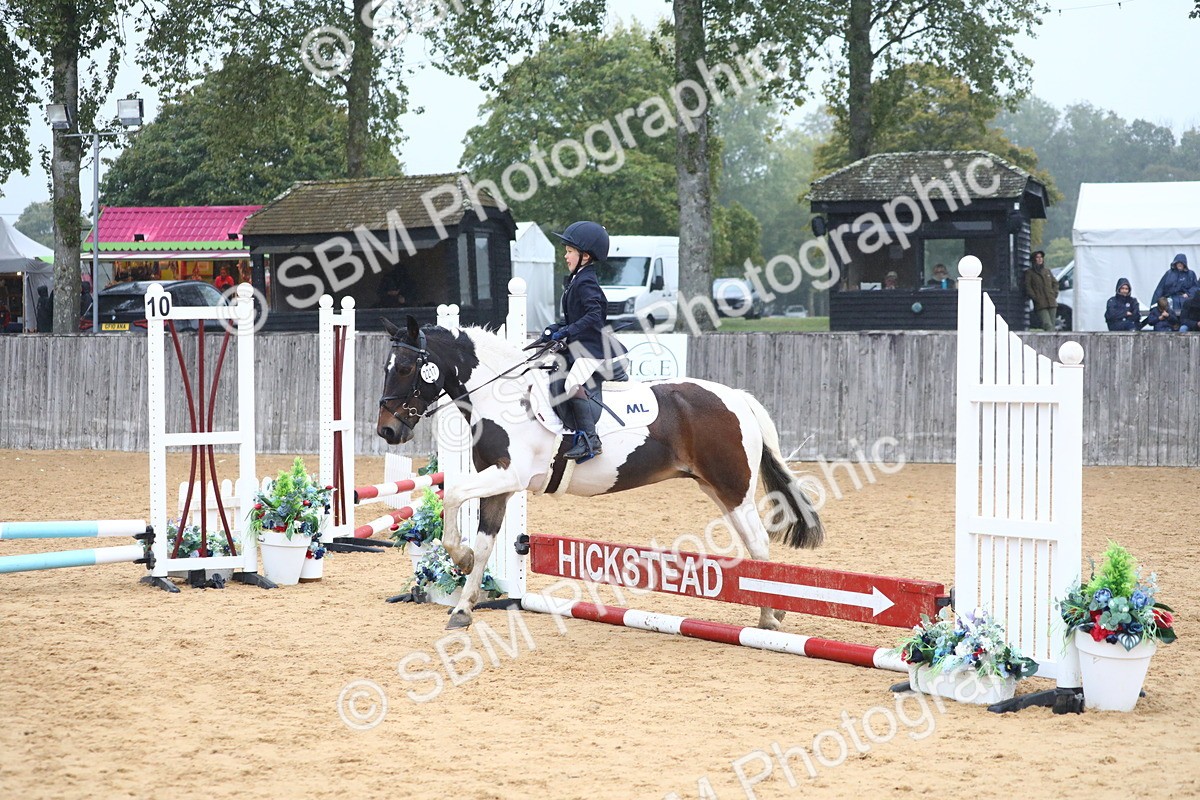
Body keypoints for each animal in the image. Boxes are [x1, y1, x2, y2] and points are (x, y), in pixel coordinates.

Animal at [377, 316, 824, 630]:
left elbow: (453, 495)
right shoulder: (498, 485)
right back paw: (770, 615)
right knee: (752, 547)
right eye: (387, 367)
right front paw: (463, 604)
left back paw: (767, 621)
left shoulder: (509, 478)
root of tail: (736, 397)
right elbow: (484, 540)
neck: (502, 400)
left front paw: (461, 559)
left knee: (760, 546)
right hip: (716, 488)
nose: (388, 431)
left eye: (405, 368)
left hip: (733, 487)